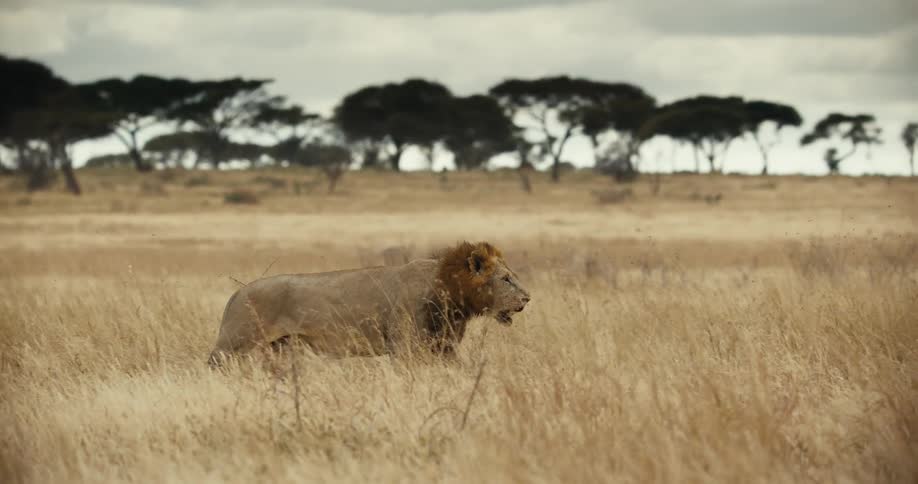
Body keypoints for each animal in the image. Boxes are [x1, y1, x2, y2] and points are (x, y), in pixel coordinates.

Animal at [208, 241, 530, 366]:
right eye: (506, 279)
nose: (528, 298)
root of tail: (237, 294)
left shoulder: (444, 346)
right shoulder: (405, 347)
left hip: (280, 348)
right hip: (235, 342)